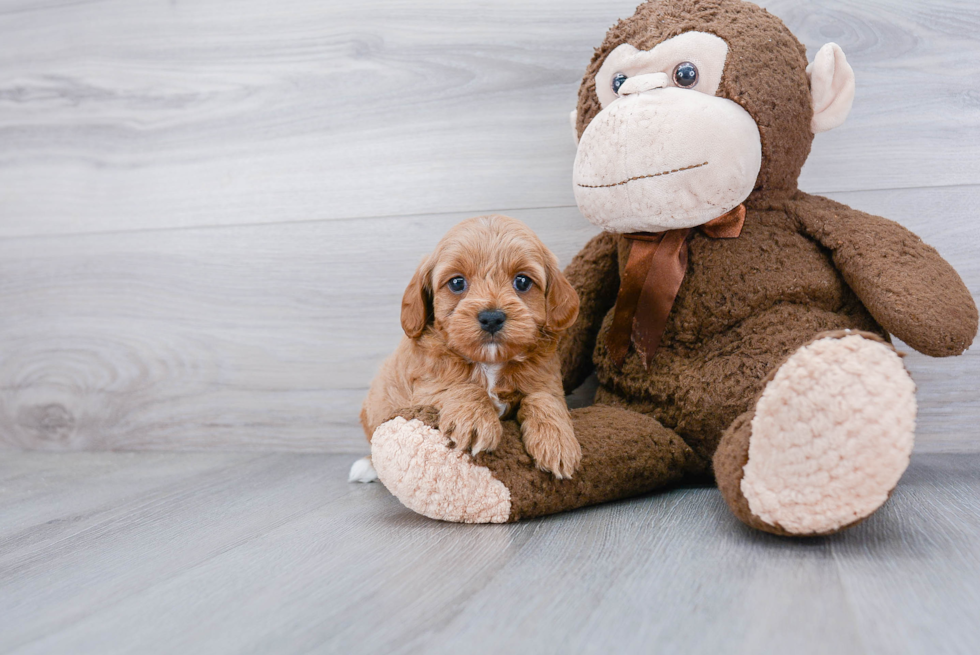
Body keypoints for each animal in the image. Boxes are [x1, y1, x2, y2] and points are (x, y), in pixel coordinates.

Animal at [356, 218, 580, 480]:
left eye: (522, 281)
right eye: (457, 283)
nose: (491, 317)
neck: (491, 363)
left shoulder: (545, 378)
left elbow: (544, 398)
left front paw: (557, 442)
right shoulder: (427, 387)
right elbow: (462, 385)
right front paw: (475, 421)